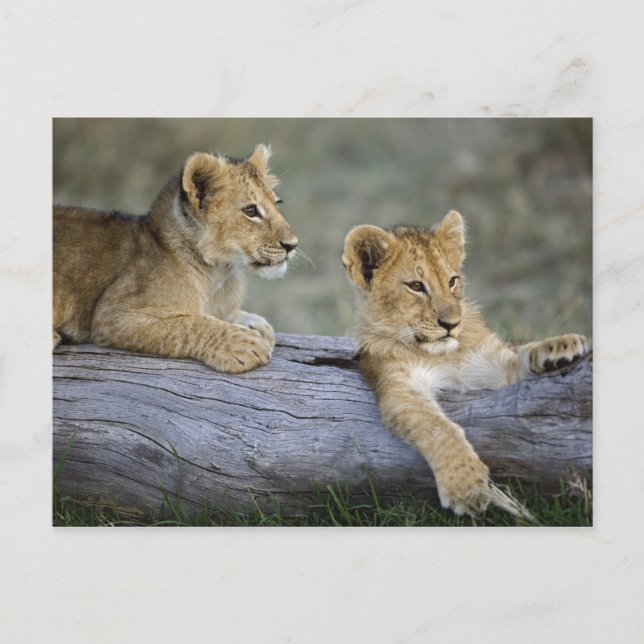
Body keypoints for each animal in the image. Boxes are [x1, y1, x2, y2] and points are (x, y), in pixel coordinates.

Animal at [53, 144, 298, 373]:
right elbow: (188, 324)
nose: (292, 245)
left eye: (277, 204)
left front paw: (257, 325)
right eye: (250, 211)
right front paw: (243, 344)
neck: (219, 275)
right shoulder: (113, 315)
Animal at [342, 210, 589, 517]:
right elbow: (437, 427)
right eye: (416, 286)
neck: (442, 354)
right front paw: (466, 487)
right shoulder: (397, 385)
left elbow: (518, 355)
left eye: (452, 281)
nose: (452, 324)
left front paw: (560, 346)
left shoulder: (487, 364)